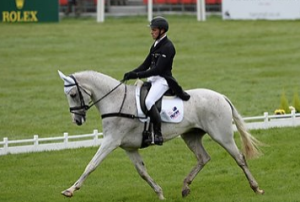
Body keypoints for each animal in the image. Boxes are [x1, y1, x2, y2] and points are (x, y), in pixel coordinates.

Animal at [57, 70, 264, 200]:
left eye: (73, 94)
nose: (77, 120)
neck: (116, 101)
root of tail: (221, 96)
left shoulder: (111, 141)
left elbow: (92, 165)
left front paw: (70, 190)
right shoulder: (129, 147)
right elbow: (142, 172)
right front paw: (160, 193)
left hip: (221, 135)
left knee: (239, 158)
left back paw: (256, 188)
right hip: (190, 136)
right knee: (203, 158)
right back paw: (185, 187)